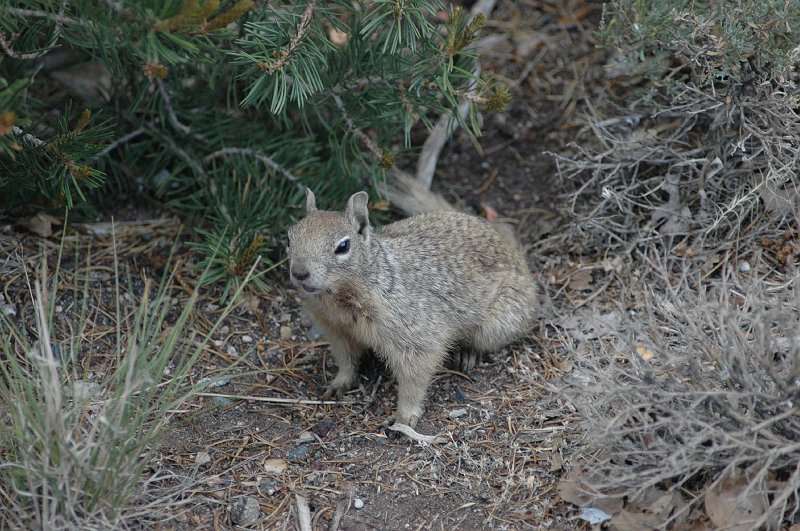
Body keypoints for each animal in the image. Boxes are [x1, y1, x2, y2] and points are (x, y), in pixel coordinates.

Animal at [288, 181, 536, 426]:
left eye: (343, 246)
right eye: (290, 237)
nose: (299, 272)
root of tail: (519, 257)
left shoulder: (414, 333)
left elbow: (414, 377)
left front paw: (405, 416)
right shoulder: (338, 330)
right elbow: (346, 360)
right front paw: (339, 383)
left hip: (496, 324)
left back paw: (467, 353)